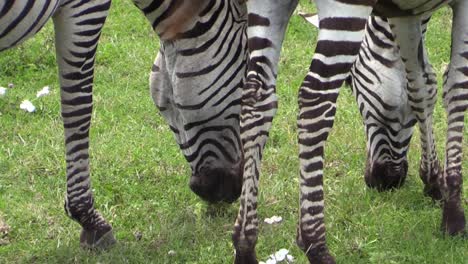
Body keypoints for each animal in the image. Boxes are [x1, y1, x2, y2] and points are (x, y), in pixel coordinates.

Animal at [234, 1, 468, 262]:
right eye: (350, 84)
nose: (377, 181)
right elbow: (456, 87)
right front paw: (454, 213)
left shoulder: (405, 14)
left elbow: (421, 86)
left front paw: (434, 181)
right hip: (345, 10)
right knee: (314, 100)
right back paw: (316, 246)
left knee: (256, 99)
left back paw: (245, 246)